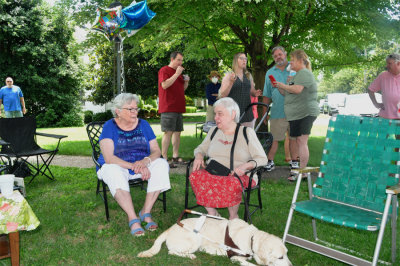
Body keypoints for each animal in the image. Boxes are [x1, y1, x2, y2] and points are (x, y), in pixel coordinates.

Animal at [138, 217, 290, 264]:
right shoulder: (235, 258)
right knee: (172, 252)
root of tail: (170, 228)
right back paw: (190, 256)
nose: (291, 265)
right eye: (280, 257)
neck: (251, 238)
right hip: (195, 238)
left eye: (286, 254)